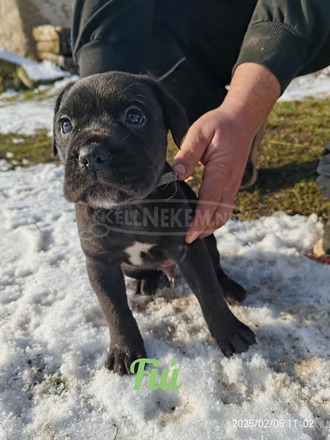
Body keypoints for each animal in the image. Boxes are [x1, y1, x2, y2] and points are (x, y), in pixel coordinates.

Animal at [53, 72, 255, 374]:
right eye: (65, 124)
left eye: (134, 116)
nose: (90, 154)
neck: (129, 207)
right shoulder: (100, 263)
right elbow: (115, 310)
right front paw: (125, 351)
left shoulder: (190, 249)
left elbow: (209, 293)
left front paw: (230, 333)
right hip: (129, 268)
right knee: (148, 272)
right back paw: (146, 282)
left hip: (207, 240)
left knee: (216, 267)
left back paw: (228, 287)